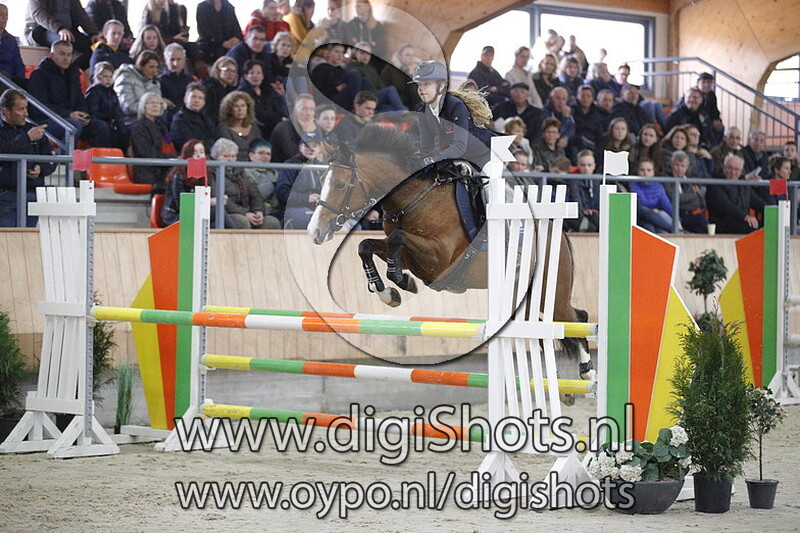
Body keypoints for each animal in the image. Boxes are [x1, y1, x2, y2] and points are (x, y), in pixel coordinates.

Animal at [307, 124, 593, 380]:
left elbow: (397, 239)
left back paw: (588, 373)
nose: (314, 231)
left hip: (549, 289)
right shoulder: (412, 257)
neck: (412, 199)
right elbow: (367, 245)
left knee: (575, 318)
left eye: (340, 185)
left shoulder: (439, 256)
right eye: (320, 180)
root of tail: (559, 233)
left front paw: (399, 280)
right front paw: (389, 291)